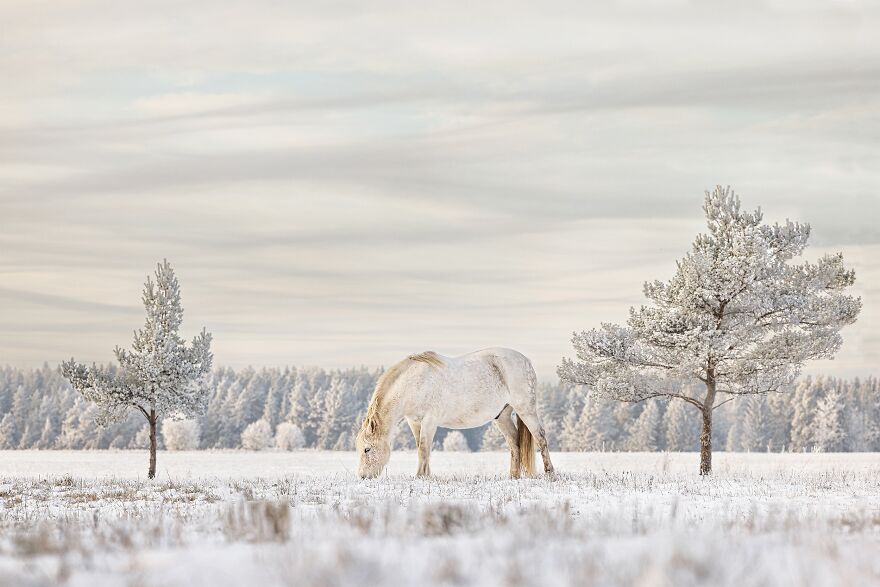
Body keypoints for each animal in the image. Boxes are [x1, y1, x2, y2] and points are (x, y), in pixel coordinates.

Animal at [354, 350, 552, 478]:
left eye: (367, 449)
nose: (363, 476)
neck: (414, 383)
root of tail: (526, 361)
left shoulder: (429, 421)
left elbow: (423, 449)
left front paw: (420, 477)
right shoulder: (414, 422)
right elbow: (421, 448)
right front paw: (426, 476)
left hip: (526, 410)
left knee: (540, 437)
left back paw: (550, 473)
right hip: (502, 416)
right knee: (514, 444)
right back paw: (513, 477)